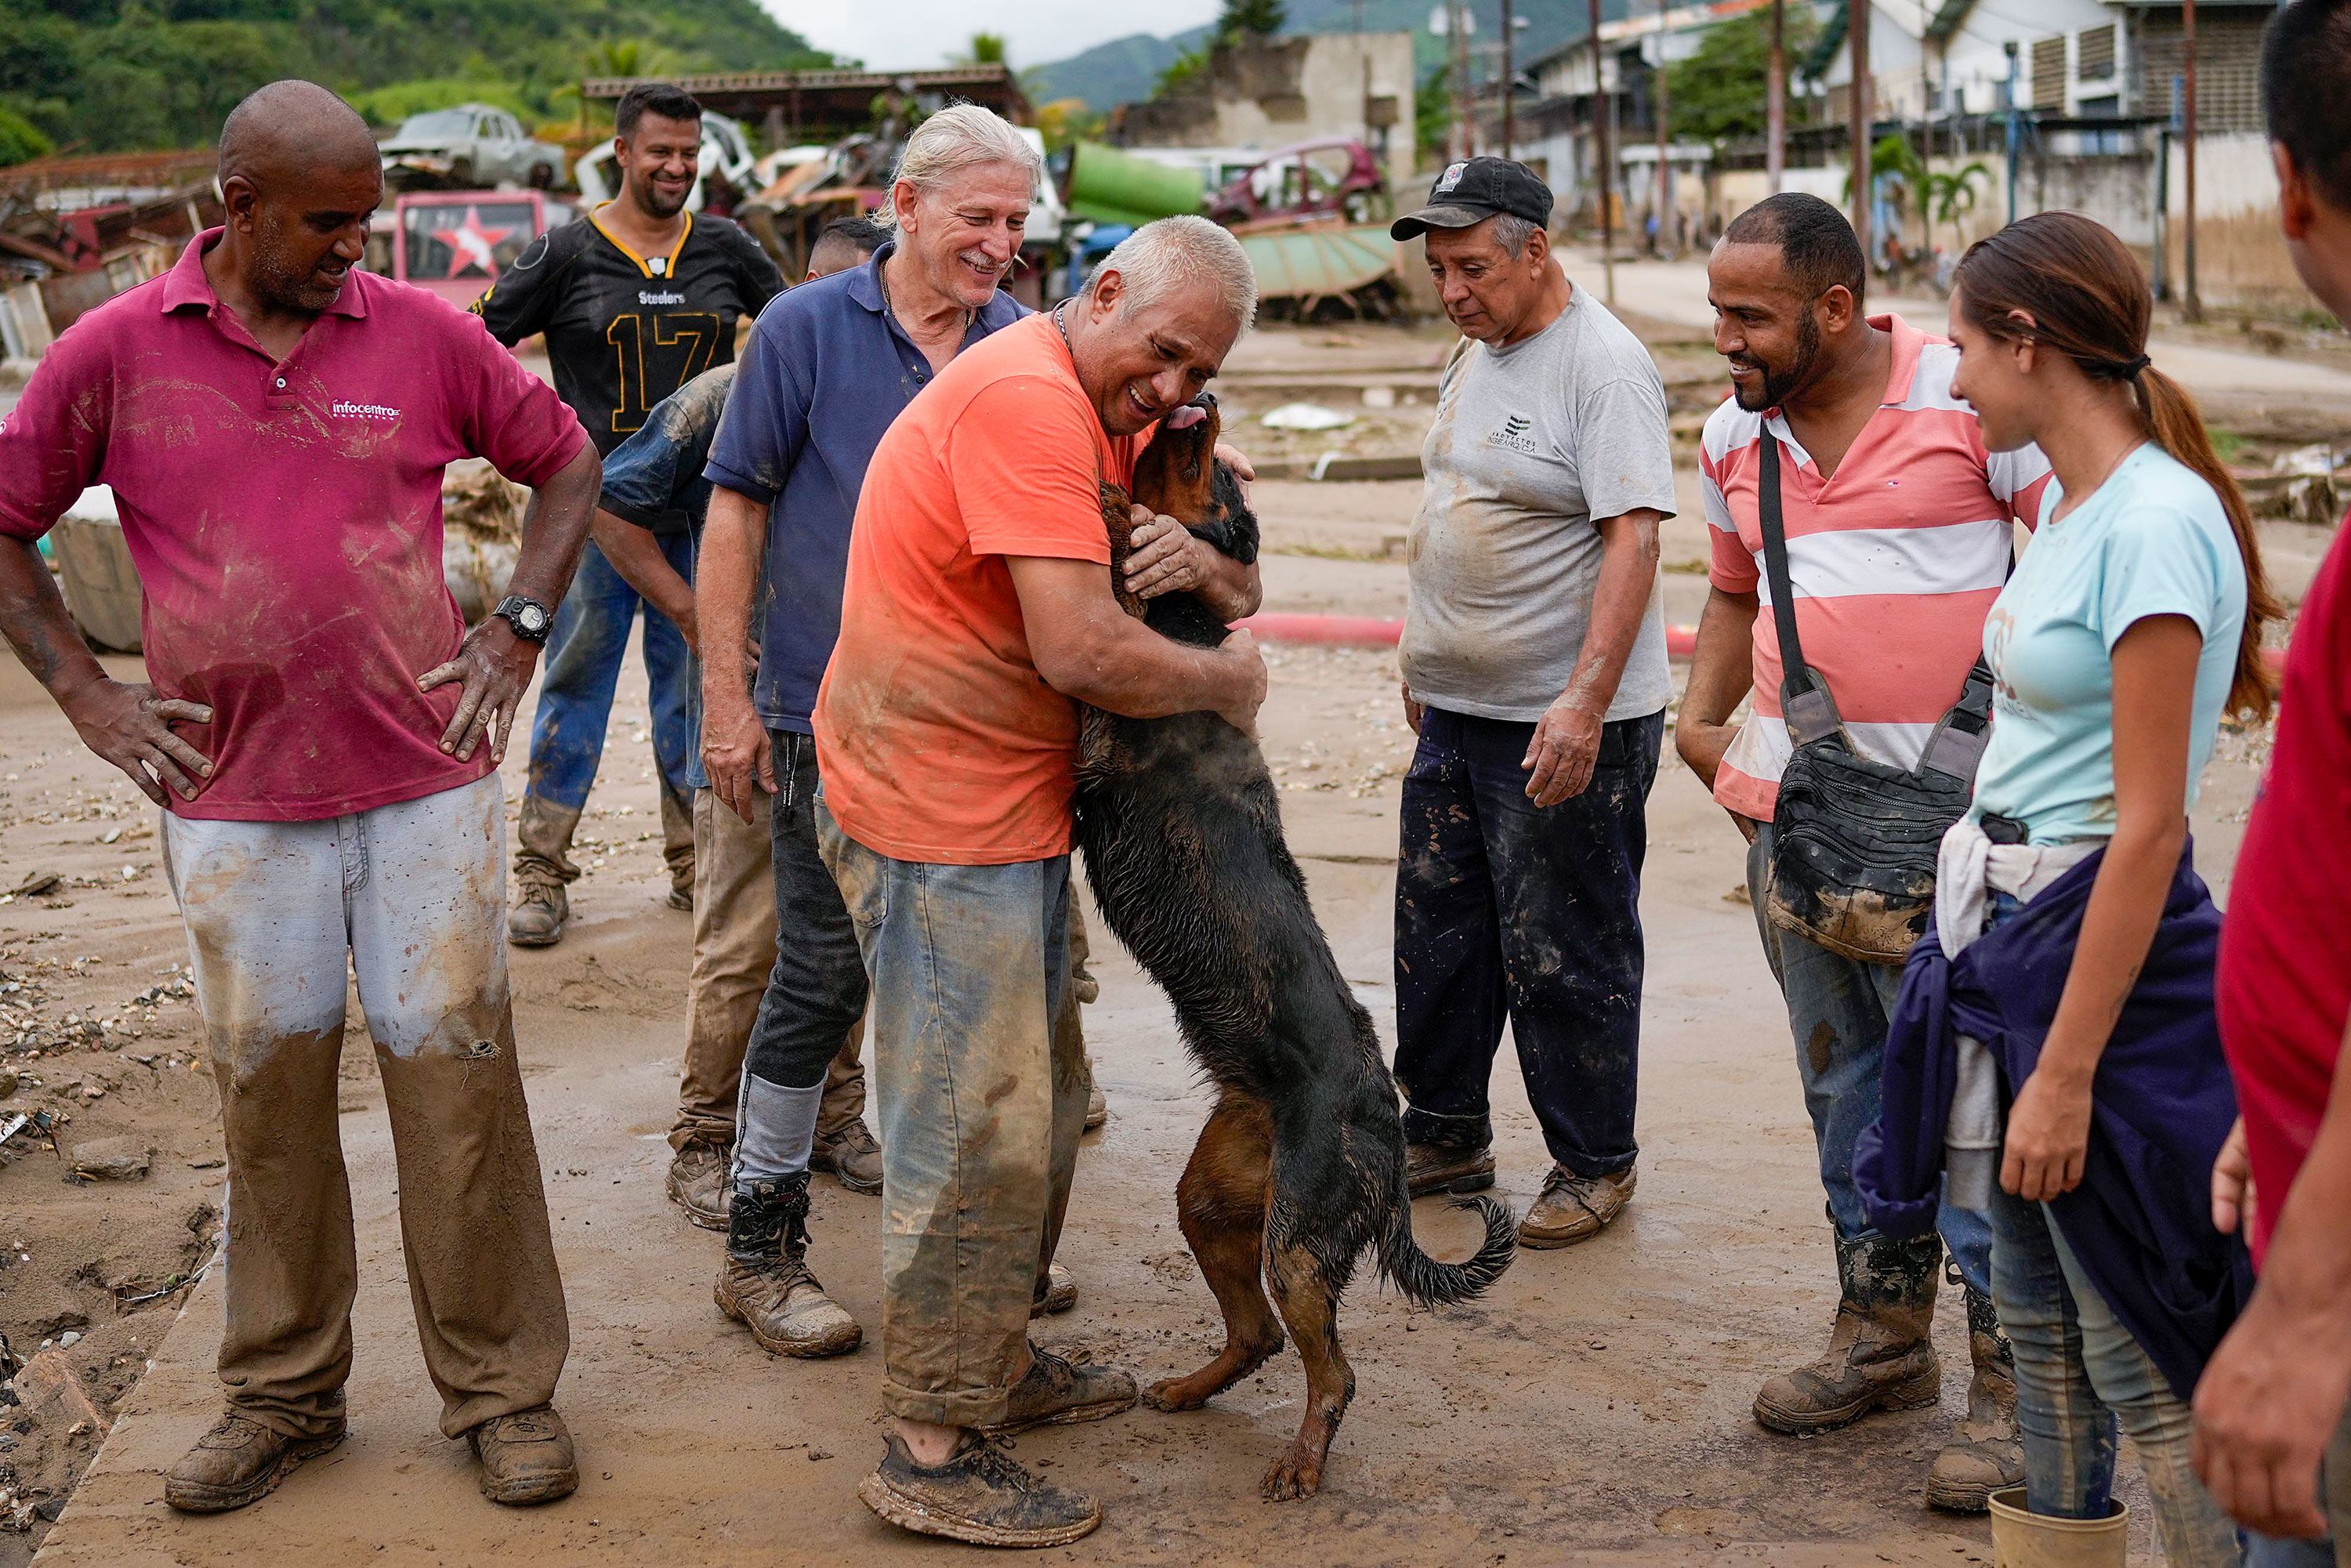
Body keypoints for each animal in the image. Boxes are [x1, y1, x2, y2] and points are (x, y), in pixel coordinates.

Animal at [1077, 400, 1514, 1505]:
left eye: (1228, 485)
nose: (1206, 406)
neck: (1188, 626)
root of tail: (1386, 1133)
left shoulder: (1098, 728)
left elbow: (1120, 567)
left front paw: (1117, 513)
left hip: (1303, 1242)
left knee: (1334, 1368)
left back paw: (1302, 1462)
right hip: (1219, 1200)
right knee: (1258, 1337)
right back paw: (1191, 1388)